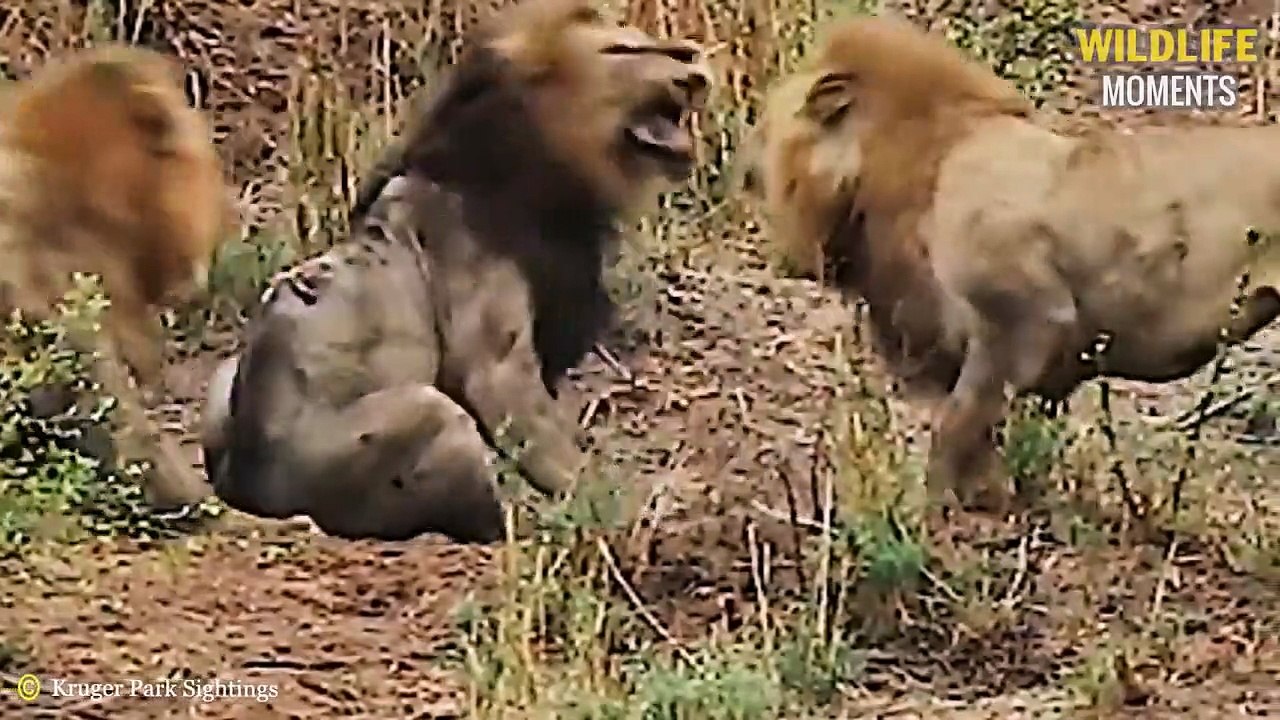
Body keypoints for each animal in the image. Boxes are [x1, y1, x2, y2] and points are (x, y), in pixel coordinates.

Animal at [199, 0, 713, 542]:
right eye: (622, 48)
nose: (694, 59)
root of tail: (244, 485)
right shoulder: (495, 363)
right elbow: (546, 441)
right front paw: (613, 506)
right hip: (429, 412)